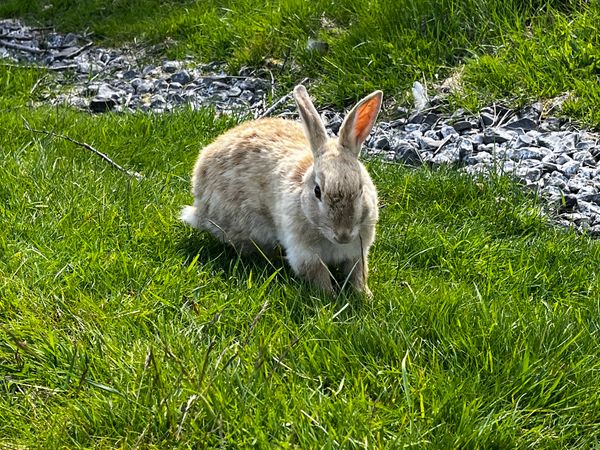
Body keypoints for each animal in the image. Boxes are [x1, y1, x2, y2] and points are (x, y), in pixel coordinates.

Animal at [180, 85, 382, 298]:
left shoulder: (357, 251)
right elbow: (318, 274)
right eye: (317, 191)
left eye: (361, 189)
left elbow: (358, 273)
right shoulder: (304, 253)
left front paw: (365, 295)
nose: (343, 235)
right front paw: (331, 297)